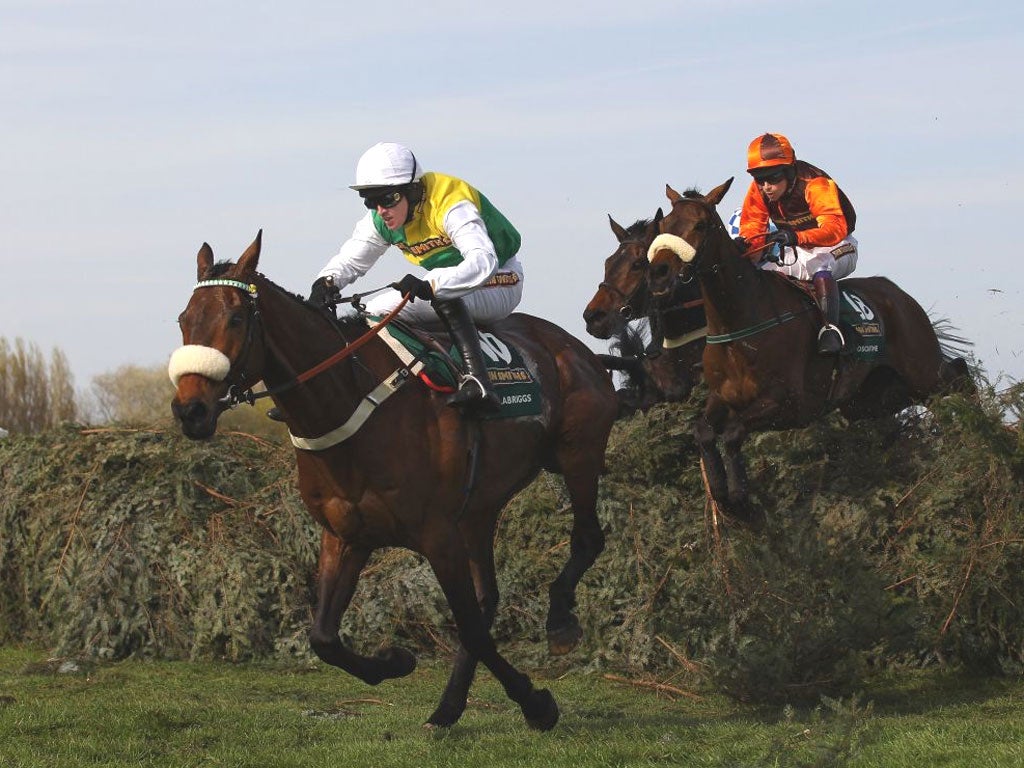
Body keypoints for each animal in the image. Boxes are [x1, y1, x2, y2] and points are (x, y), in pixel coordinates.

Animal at [169, 231, 614, 729]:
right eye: (185, 318)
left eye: (236, 317)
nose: (191, 410)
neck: (352, 399)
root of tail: (575, 348)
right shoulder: (346, 534)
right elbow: (323, 637)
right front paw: (394, 661)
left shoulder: (437, 534)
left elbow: (470, 629)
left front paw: (536, 703)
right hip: (478, 509)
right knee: (487, 598)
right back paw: (449, 706)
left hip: (578, 453)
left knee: (587, 538)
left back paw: (559, 621)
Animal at [643, 177, 970, 520]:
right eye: (663, 224)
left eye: (700, 225)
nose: (658, 273)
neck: (738, 324)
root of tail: (900, 295)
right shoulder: (723, 396)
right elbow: (703, 432)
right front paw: (721, 493)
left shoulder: (789, 403)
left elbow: (732, 432)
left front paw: (740, 497)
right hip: (869, 399)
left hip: (922, 370)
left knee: (958, 375)